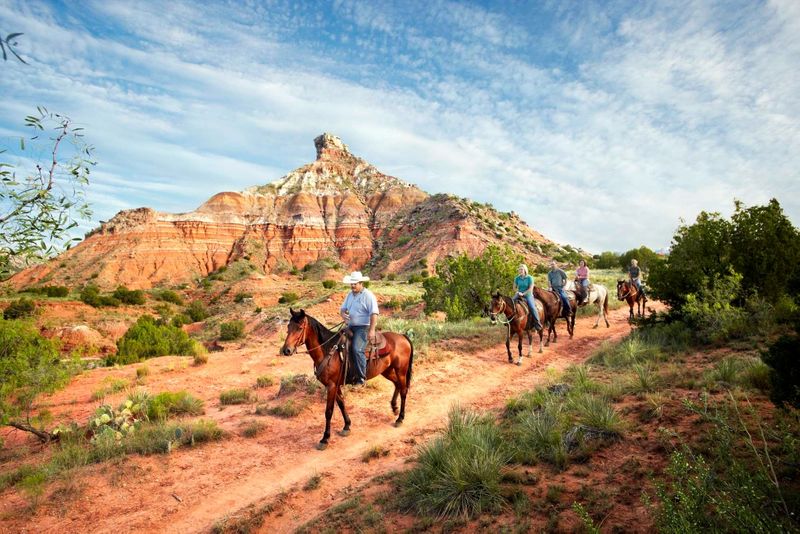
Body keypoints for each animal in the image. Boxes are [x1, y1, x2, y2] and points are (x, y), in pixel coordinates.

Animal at [280, 310, 416, 452]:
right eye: (288, 327)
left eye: (300, 328)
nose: (286, 350)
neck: (328, 351)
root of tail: (403, 336)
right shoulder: (334, 385)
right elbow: (341, 404)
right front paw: (347, 426)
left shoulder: (331, 385)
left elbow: (329, 411)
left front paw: (325, 439)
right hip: (387, 370)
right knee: (397, 384)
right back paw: (394, 407)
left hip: (401, 370)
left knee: (404, 390)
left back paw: (400, 418)